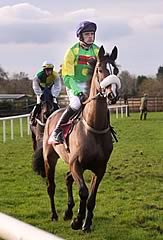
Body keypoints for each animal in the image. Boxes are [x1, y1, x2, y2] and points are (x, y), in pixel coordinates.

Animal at [38, 45, 121, 231]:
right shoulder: (76, 164)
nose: (112, 95)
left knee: (68, 179)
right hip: (50, 158)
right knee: (51, 186)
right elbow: (83, 192)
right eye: (100, 70)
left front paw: (86, 222)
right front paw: (78, 220)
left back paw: (68, 211)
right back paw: (54, 214)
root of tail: (51, 115)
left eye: (116, 70)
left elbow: (91, 197)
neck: (94, 128)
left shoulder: (100, 168)